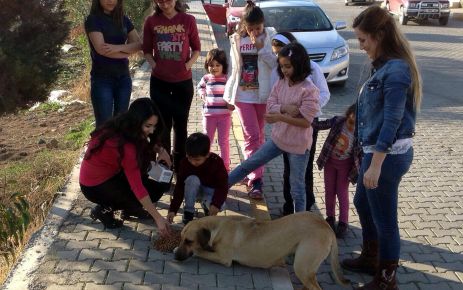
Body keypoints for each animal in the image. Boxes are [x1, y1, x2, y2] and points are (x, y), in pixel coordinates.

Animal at [176, 212, 350, 288]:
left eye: (189, 241)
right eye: (181, 238)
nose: (176, 256)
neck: (217, 227)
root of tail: (327, 227)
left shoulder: (223, 258)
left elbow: (201, 252)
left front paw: (196, 251)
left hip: (301, 266)